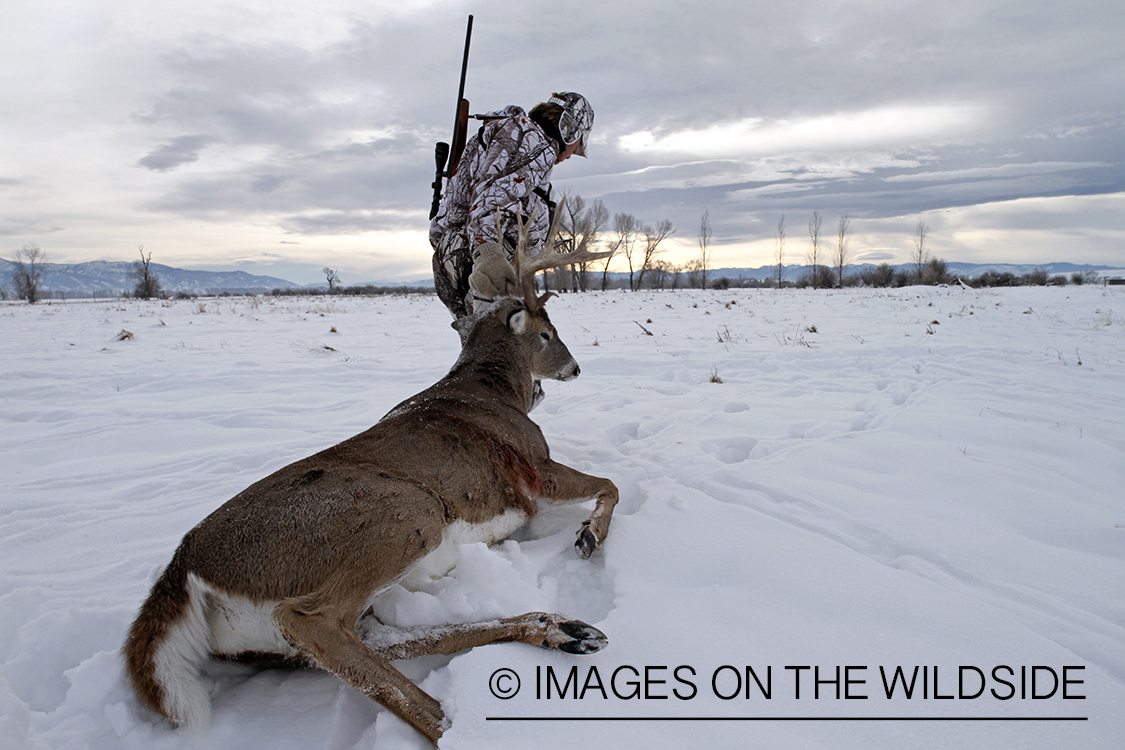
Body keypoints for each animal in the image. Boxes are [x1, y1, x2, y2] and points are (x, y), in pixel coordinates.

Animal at [124, 210, 618, 745]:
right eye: (547, 333)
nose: (575, 367)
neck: (501, 389)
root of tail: (183, 568)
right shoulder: (533, 467)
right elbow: (610, 484)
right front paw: (587, 537)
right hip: (406, 511)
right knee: (314, 622)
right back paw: (460, 725)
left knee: (373, 640)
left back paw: (564, 631)